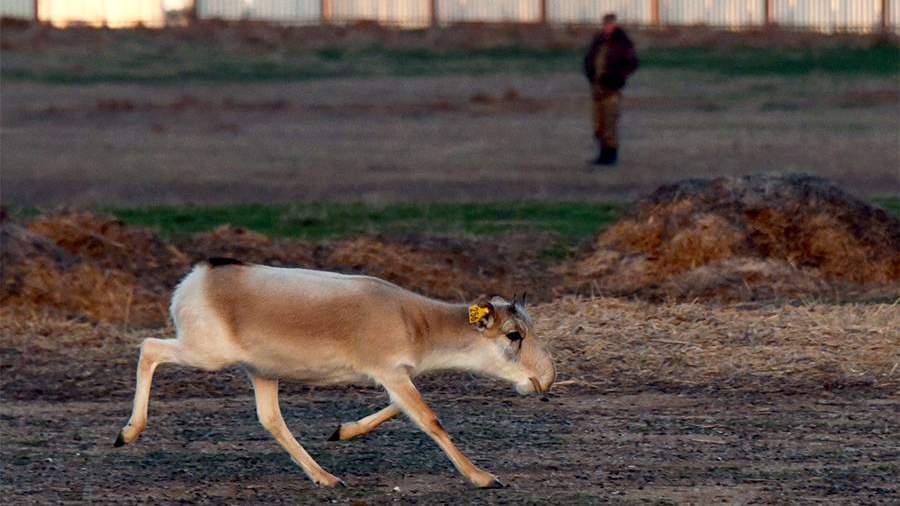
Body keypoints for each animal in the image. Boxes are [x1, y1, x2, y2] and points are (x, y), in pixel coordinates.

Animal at [116, 258, 556, 488]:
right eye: (514, 334)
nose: (547, 378)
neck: (414, 320)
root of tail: (198, 277)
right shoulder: (392, 372)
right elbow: (431, 420)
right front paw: (482, 477)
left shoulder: (395, 376)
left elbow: (401, 409)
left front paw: (343, 431)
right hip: (206, 353)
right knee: (149, 348)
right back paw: (128, 433)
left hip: (261, 371)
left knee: (271, 419)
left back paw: (325, 477)